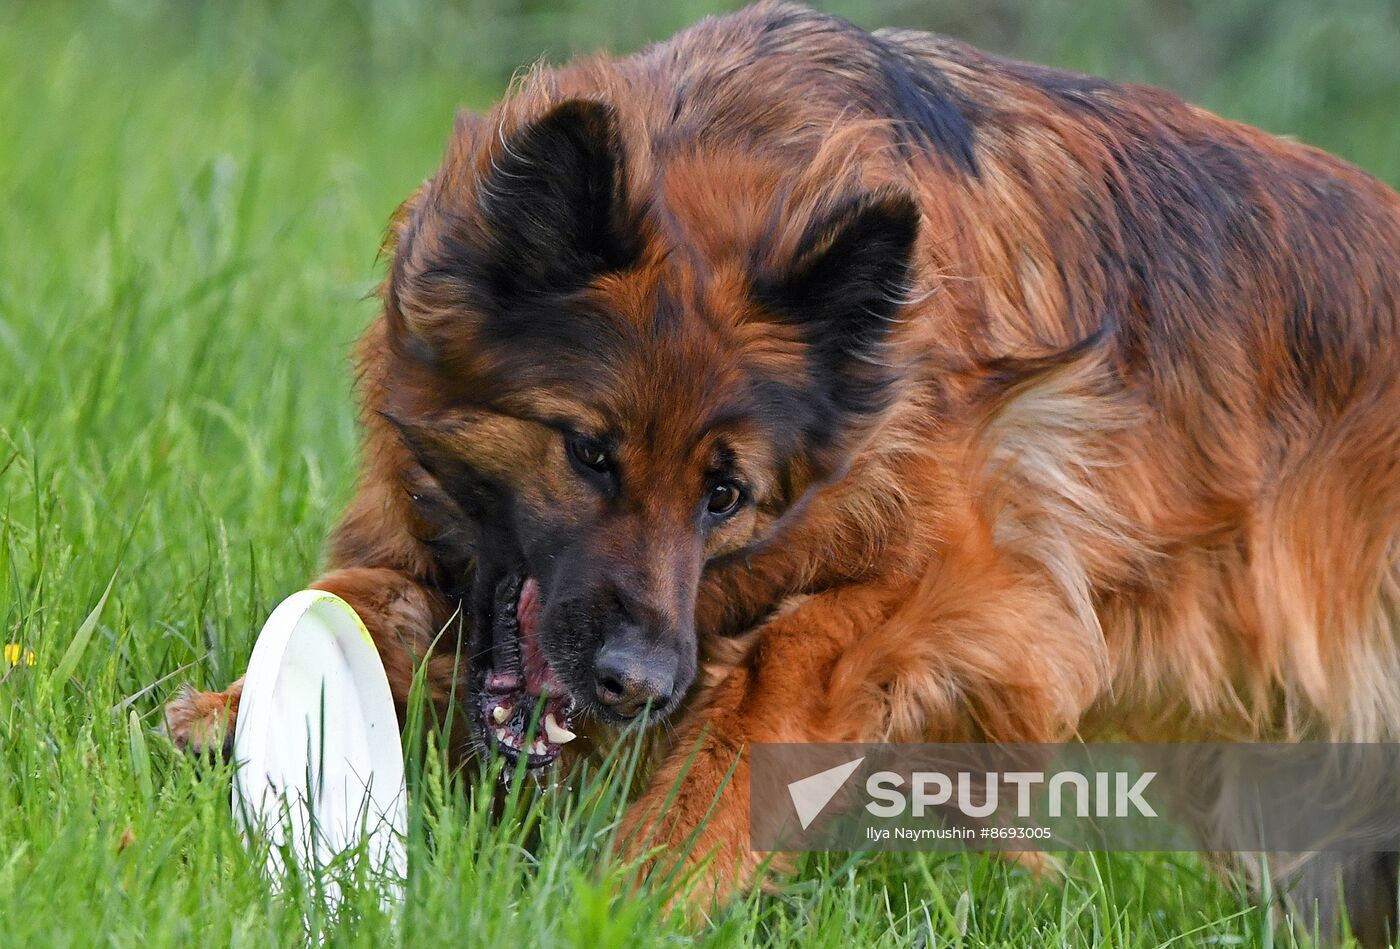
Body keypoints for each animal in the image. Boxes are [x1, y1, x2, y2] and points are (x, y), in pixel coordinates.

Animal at [166, 3, 1400, 946]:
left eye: (726, 494)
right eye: (588, 451)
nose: (638, 684)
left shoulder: (974, 583)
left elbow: (765, 687)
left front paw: (644, 885)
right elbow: (362, 600)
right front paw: (230, 709)